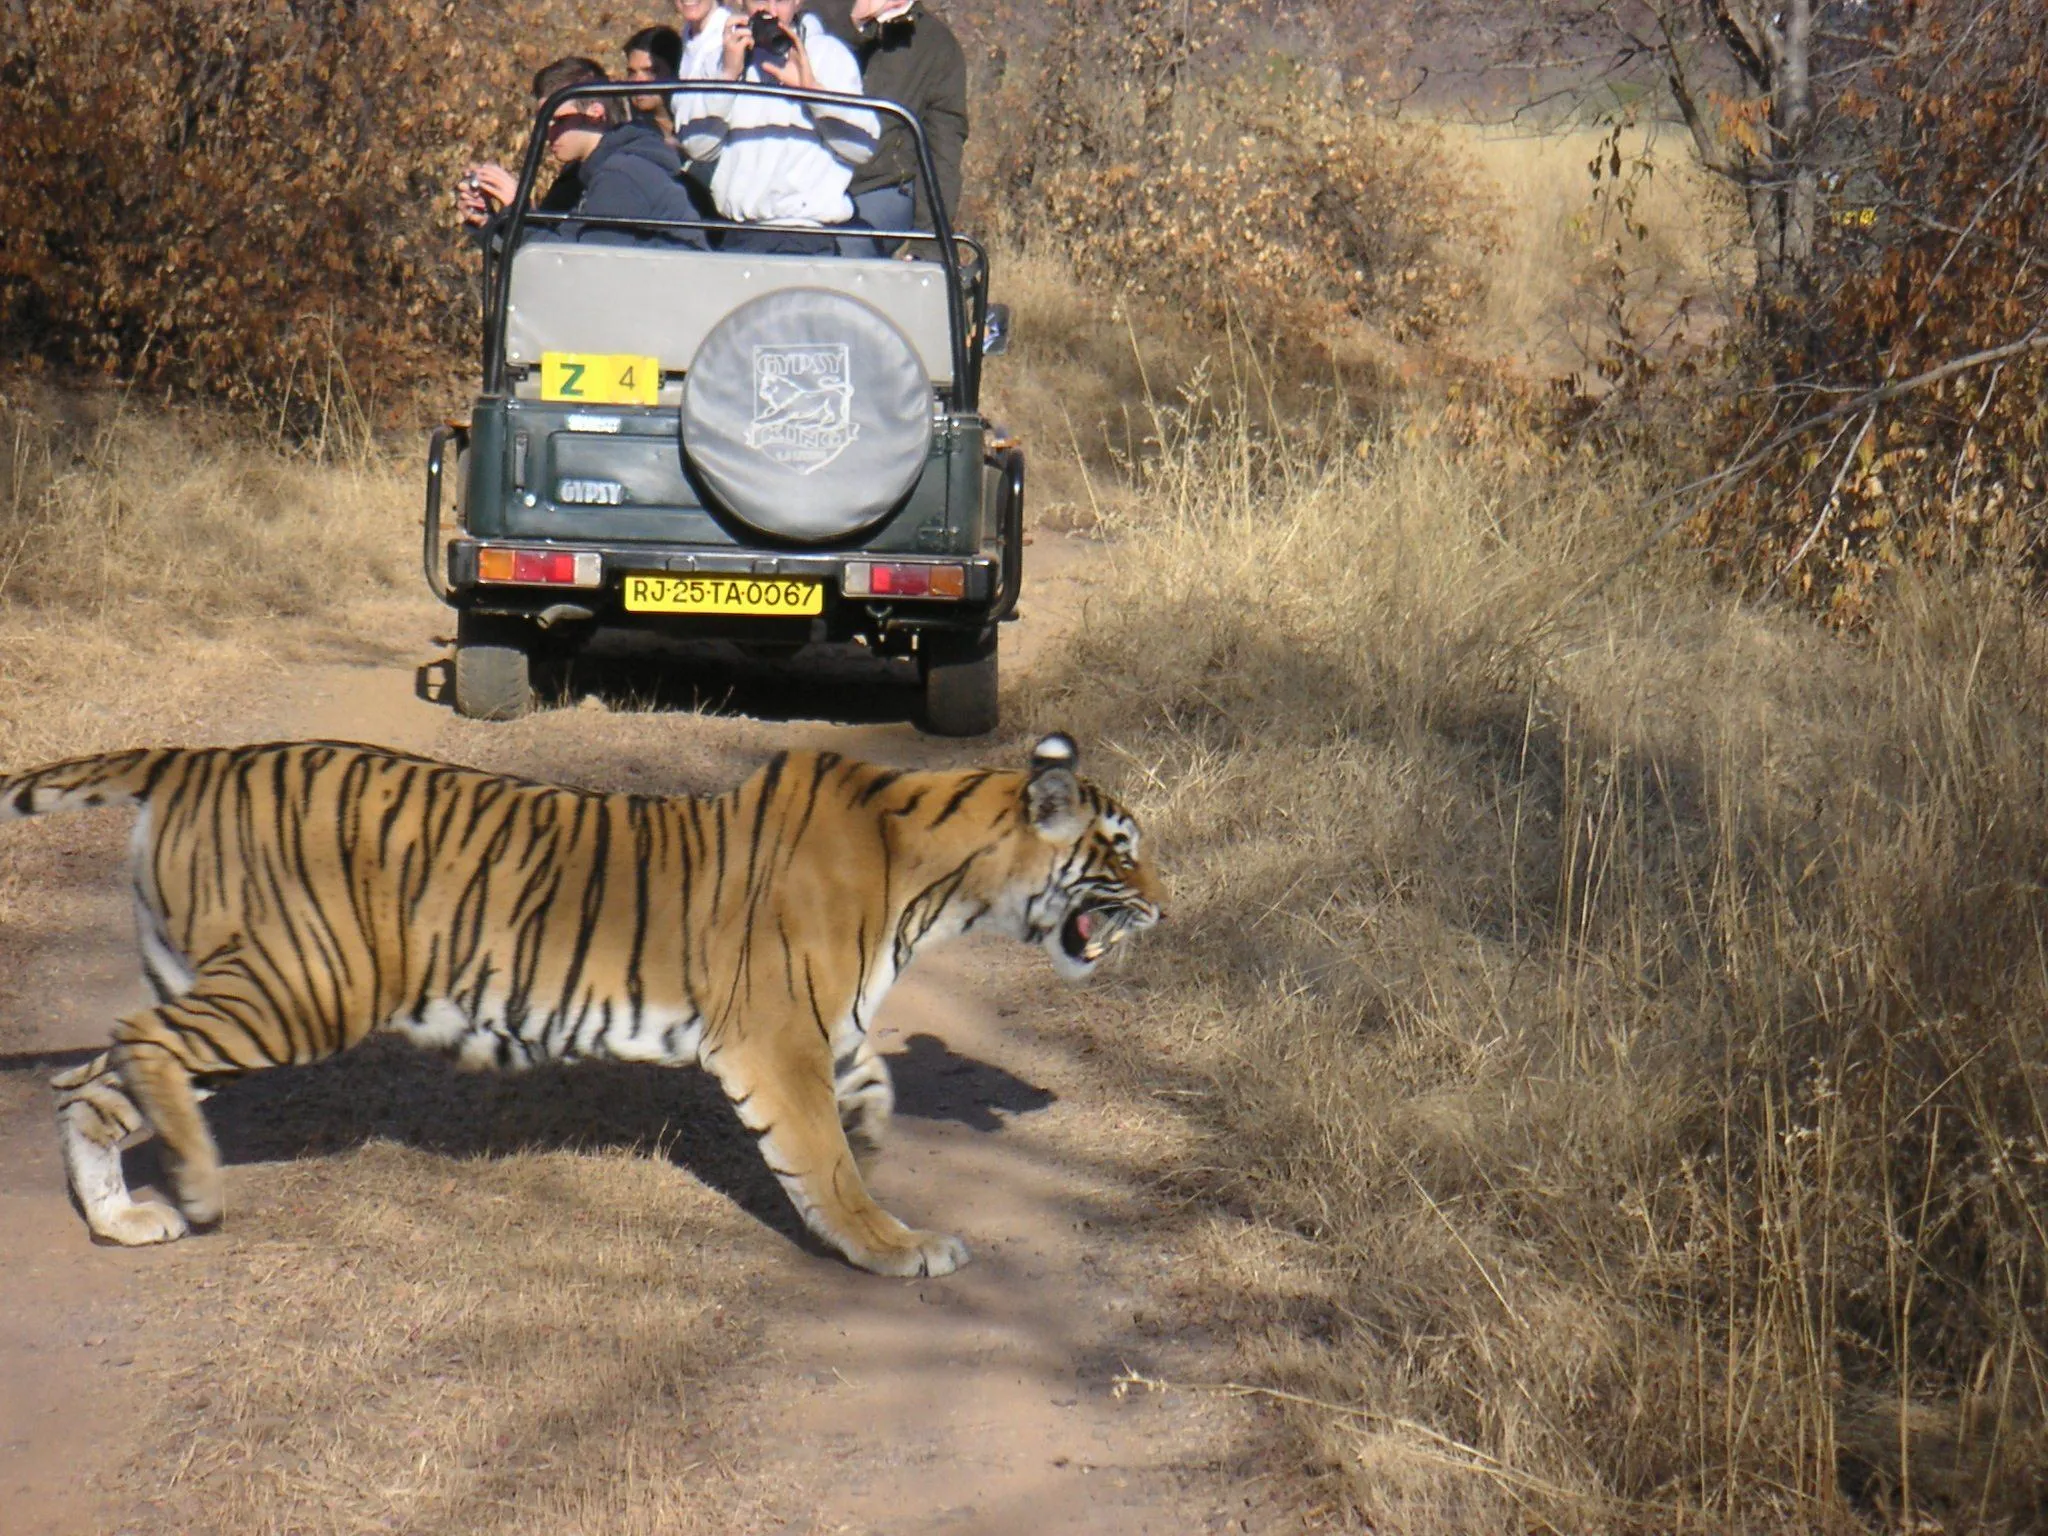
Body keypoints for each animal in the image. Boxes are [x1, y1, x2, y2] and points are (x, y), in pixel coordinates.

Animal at [0, 732, 1162, 1277]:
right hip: (302, 987)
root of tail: (194, 756)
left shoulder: (816, 1026)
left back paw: (123, 1218)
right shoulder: (775, 1035)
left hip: (222, 979)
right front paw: (893, 1243)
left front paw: (876, 1131)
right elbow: (820, 1162)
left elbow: (865, 1080)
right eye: (1122, 852)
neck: (938, 877)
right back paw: (197, 1186)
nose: (1166, 904)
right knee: (131, 1044)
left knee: (88, 1081)